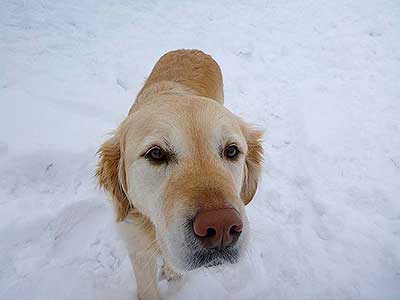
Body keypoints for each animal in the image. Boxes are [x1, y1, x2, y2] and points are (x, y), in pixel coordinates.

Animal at [96, 49, 262, 300]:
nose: (221, 227)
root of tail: (193, 49)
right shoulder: (137, 247)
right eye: (156, 153)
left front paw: (172, 271)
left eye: (232, 150)